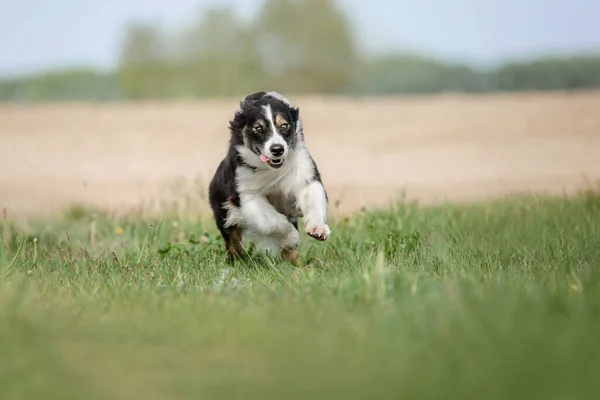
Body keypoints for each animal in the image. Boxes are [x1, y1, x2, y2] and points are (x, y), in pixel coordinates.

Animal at [209, 90, 330, 262]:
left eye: (284, 126)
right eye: (258, 128)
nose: (277, 149)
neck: (272, 170)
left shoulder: (305, 175)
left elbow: (312, 199)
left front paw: (318, 229)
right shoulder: (246, 194)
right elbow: (273, 221)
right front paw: (292, 238)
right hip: (222, 210)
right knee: (232, 240)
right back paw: (238, 259)